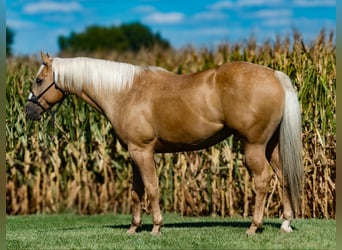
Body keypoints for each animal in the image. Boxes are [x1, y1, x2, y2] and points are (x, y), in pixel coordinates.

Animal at [25, 51, 302, 235]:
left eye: (39, 80)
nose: (29, 111)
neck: (124, 92)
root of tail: (275, 75)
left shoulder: (143, 152)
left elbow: (152, 188)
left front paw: (156, 227)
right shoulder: (133, 153)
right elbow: (136, 191)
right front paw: (133, 228)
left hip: (253, 146)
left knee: (263, 180)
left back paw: (254, 227)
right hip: (272, 146)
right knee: (284, 176)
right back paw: (285, 224)